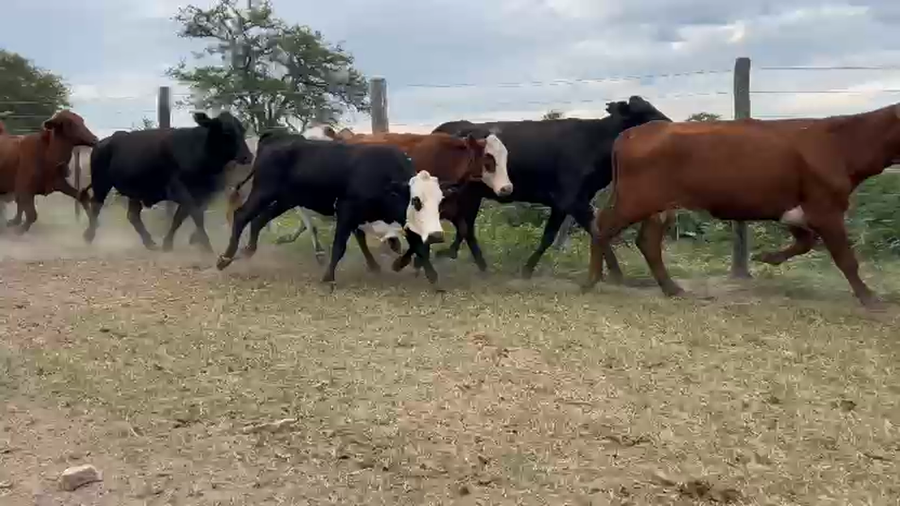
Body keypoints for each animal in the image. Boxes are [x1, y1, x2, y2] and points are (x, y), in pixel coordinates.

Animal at [80, 111, 252, 253]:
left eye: (242, 130)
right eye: (226, 132)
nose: (247, 156)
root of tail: (105, 141)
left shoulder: (202, 193)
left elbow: (181, 217)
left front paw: (170, 243)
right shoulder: (179, 189)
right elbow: (195, 215)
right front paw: (206, 244)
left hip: (135, 190)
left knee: (133, 215)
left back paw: (149, 242)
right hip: (101, 182)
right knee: (96, 205)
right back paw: (89, 235)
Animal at [217, 132, 454, 289]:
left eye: (440, 201)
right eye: (416, 201)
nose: (437, 235)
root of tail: (273, 138)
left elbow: (418, 245)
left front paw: (432, 276)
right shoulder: (347, 211)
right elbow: (340, 246)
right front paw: (328, 276)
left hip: (285, 199)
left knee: (258, 220)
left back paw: (248, 250)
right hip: (263, 192)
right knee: (242, 216)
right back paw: (225, 258)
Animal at [429, 96, 672, 278]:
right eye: (645, 113)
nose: (670, 124)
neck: (594, 141)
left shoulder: (564, 203)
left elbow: (550, 236)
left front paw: (528, 269)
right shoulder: (572, 200)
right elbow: (596, 232)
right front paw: (616, 273)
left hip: (472, 195)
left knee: (465, 226)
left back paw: (466, 259)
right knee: (464, 226)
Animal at [582, 102, 900, 308]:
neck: (842, 142)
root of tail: (635, 132)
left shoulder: (795, 210)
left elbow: (805, 243)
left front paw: (766, 256)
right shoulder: (826, 209)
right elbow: (846, 258)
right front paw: (869, 297)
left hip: (658, 206)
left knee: (647, 242)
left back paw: (672, 289)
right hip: (634, 199)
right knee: (602, 226)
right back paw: (591, 280)